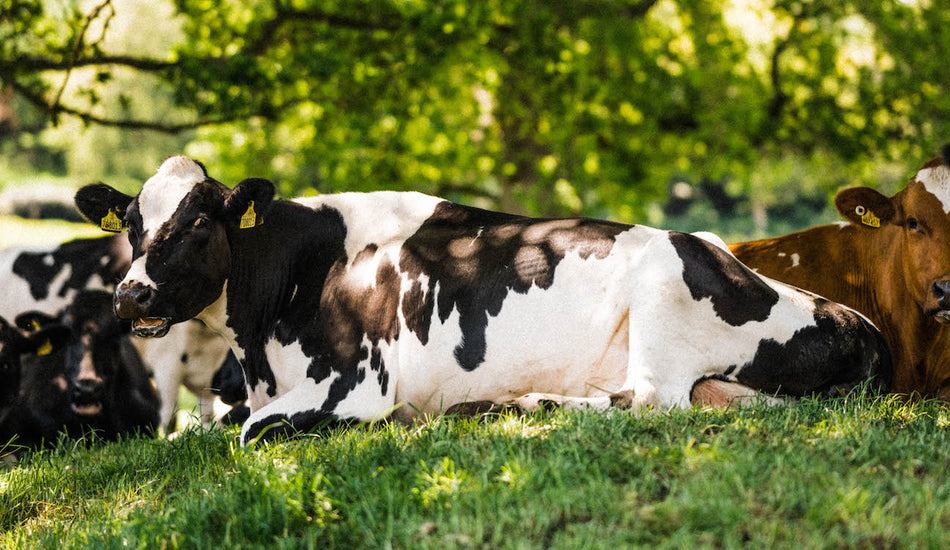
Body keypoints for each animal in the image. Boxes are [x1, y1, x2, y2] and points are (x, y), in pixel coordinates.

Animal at [74, 156, 892, 448]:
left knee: (648, 401)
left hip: (663, 287)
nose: (130, 294)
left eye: (196, 223)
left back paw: (510, 405)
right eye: (134, 224)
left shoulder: (356, 387)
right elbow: (207, 427)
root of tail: (858, 321)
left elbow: (245, 434)